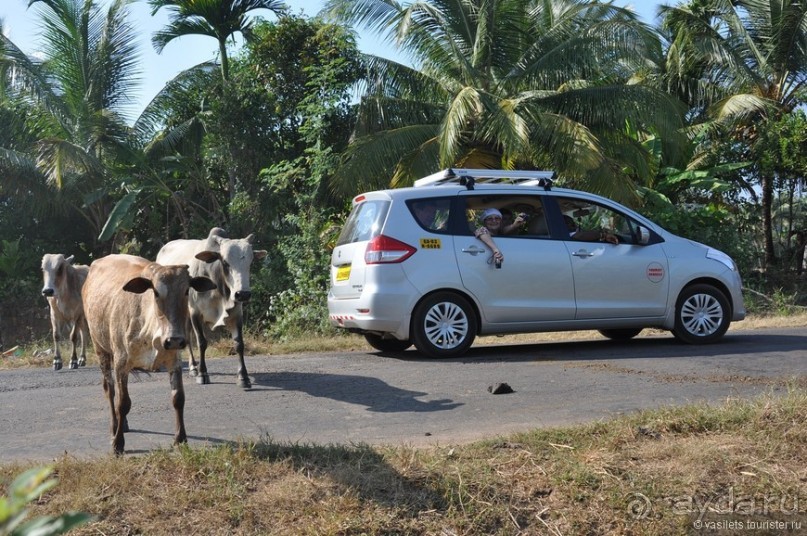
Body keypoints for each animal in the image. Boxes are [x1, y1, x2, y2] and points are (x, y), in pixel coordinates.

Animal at [82, 253, 216, 454]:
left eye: (186, 291)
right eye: (156, 292)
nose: (174, 339)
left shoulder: (174, 361)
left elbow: (178, 398)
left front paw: (180, 438)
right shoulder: (121, 363)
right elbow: (123, 403)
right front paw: (118, 444)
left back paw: (124, 424)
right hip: (101, 349)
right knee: (110, 390)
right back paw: (115, 427)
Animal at [157, 227, 268, 390]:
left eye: (250, 261)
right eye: (225, 262)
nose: (243, 294)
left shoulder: (236, 314)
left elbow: (239, 344)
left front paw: (243, 377)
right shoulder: (195, 313)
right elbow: (202, 342)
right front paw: (203, 374)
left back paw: (193, 367)